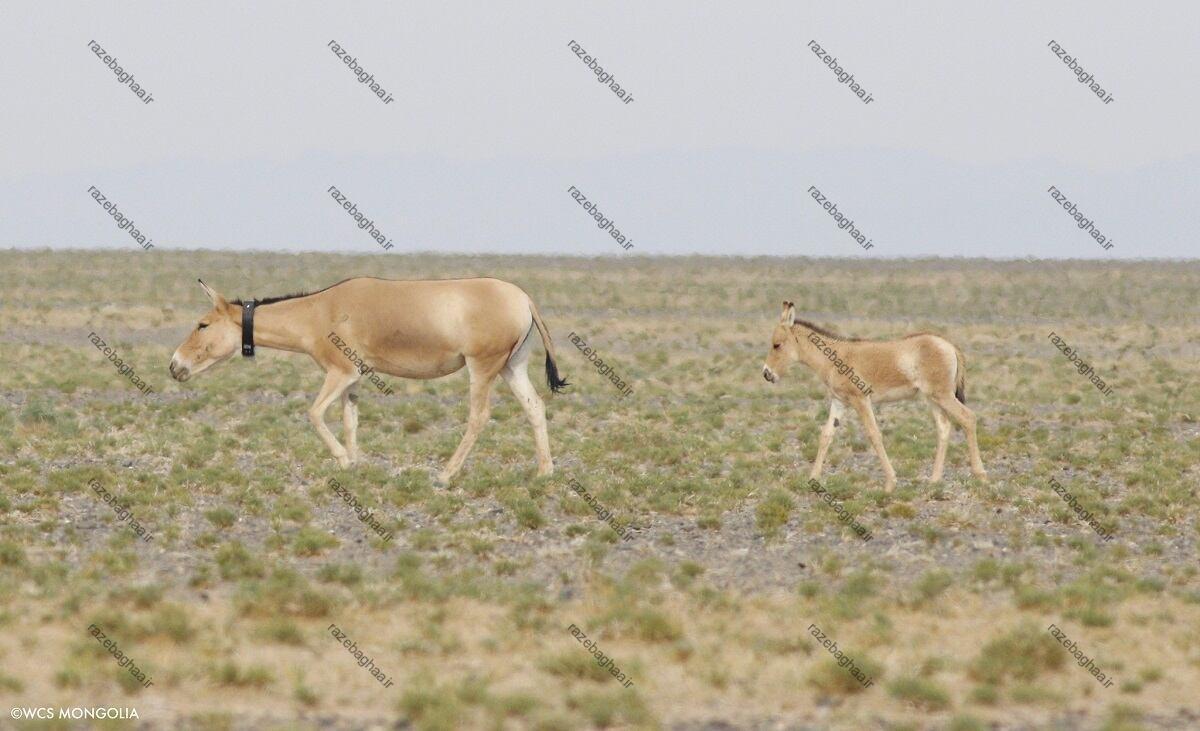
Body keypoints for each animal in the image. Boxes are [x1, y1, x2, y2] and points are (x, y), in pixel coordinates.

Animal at [165, 276, 571, 482]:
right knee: (534, 407)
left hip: (483, 366)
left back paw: (445, 475)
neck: (317, 313)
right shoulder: (354, 377)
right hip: (511, 365)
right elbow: (350, 419)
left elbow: (314, 414)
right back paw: (545, 472)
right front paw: (356, 464)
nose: (174, 366)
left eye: (202, 324)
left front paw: (344, 461)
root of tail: (524, 298)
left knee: (479, 416)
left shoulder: (339, 371)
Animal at [758, 298, 984, 492]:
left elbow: (874, 434)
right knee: (944, 427)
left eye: (776, 344)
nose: (766, 374)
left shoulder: (861, 400)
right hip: (933, 398)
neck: (833, 358)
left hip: (943, 395)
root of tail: (948, 345)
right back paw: (934, 480)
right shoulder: (839, 401)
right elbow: (826, 436)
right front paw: (813, 479)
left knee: (968, 418)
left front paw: (890, 483)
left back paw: (980, 474)